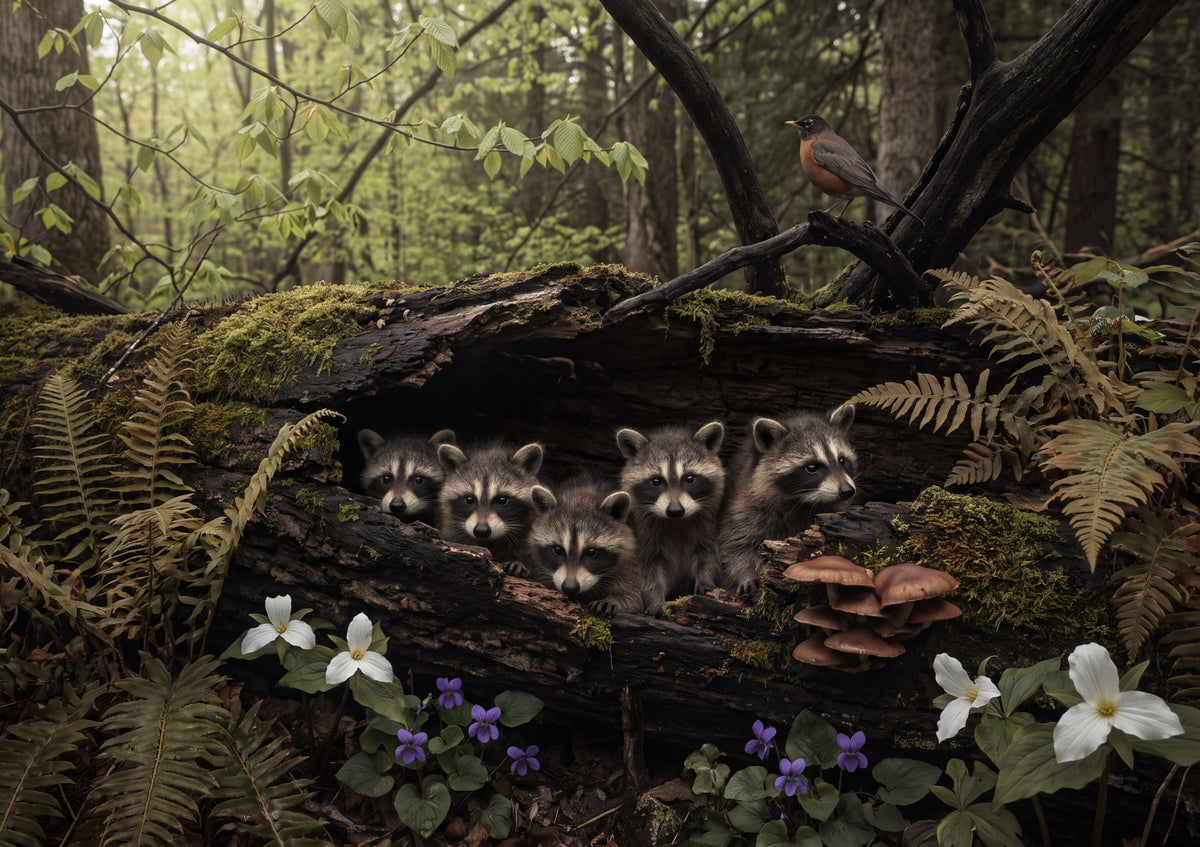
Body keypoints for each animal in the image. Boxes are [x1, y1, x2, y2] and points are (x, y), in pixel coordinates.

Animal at [525, 477, 643, 614]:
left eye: (592, 552)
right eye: (557, 550)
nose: (570, 587)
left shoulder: (631, 562)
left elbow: (633, 597)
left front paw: (616, 599)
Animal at [616, 421, 726, 613]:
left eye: (690, 478)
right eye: (656, 481)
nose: (675, 510)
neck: (676, 522)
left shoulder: (707, 527)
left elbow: (708, 555)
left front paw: (706, 579)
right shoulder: (646, 538)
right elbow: (649, 572)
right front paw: (655, 602)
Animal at [720, 405, 857, 595]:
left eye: (842, 460)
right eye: (812, 467)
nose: (847, 491)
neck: (805, 501)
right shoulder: (745, 506)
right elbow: (737, 544)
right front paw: (746, 574)